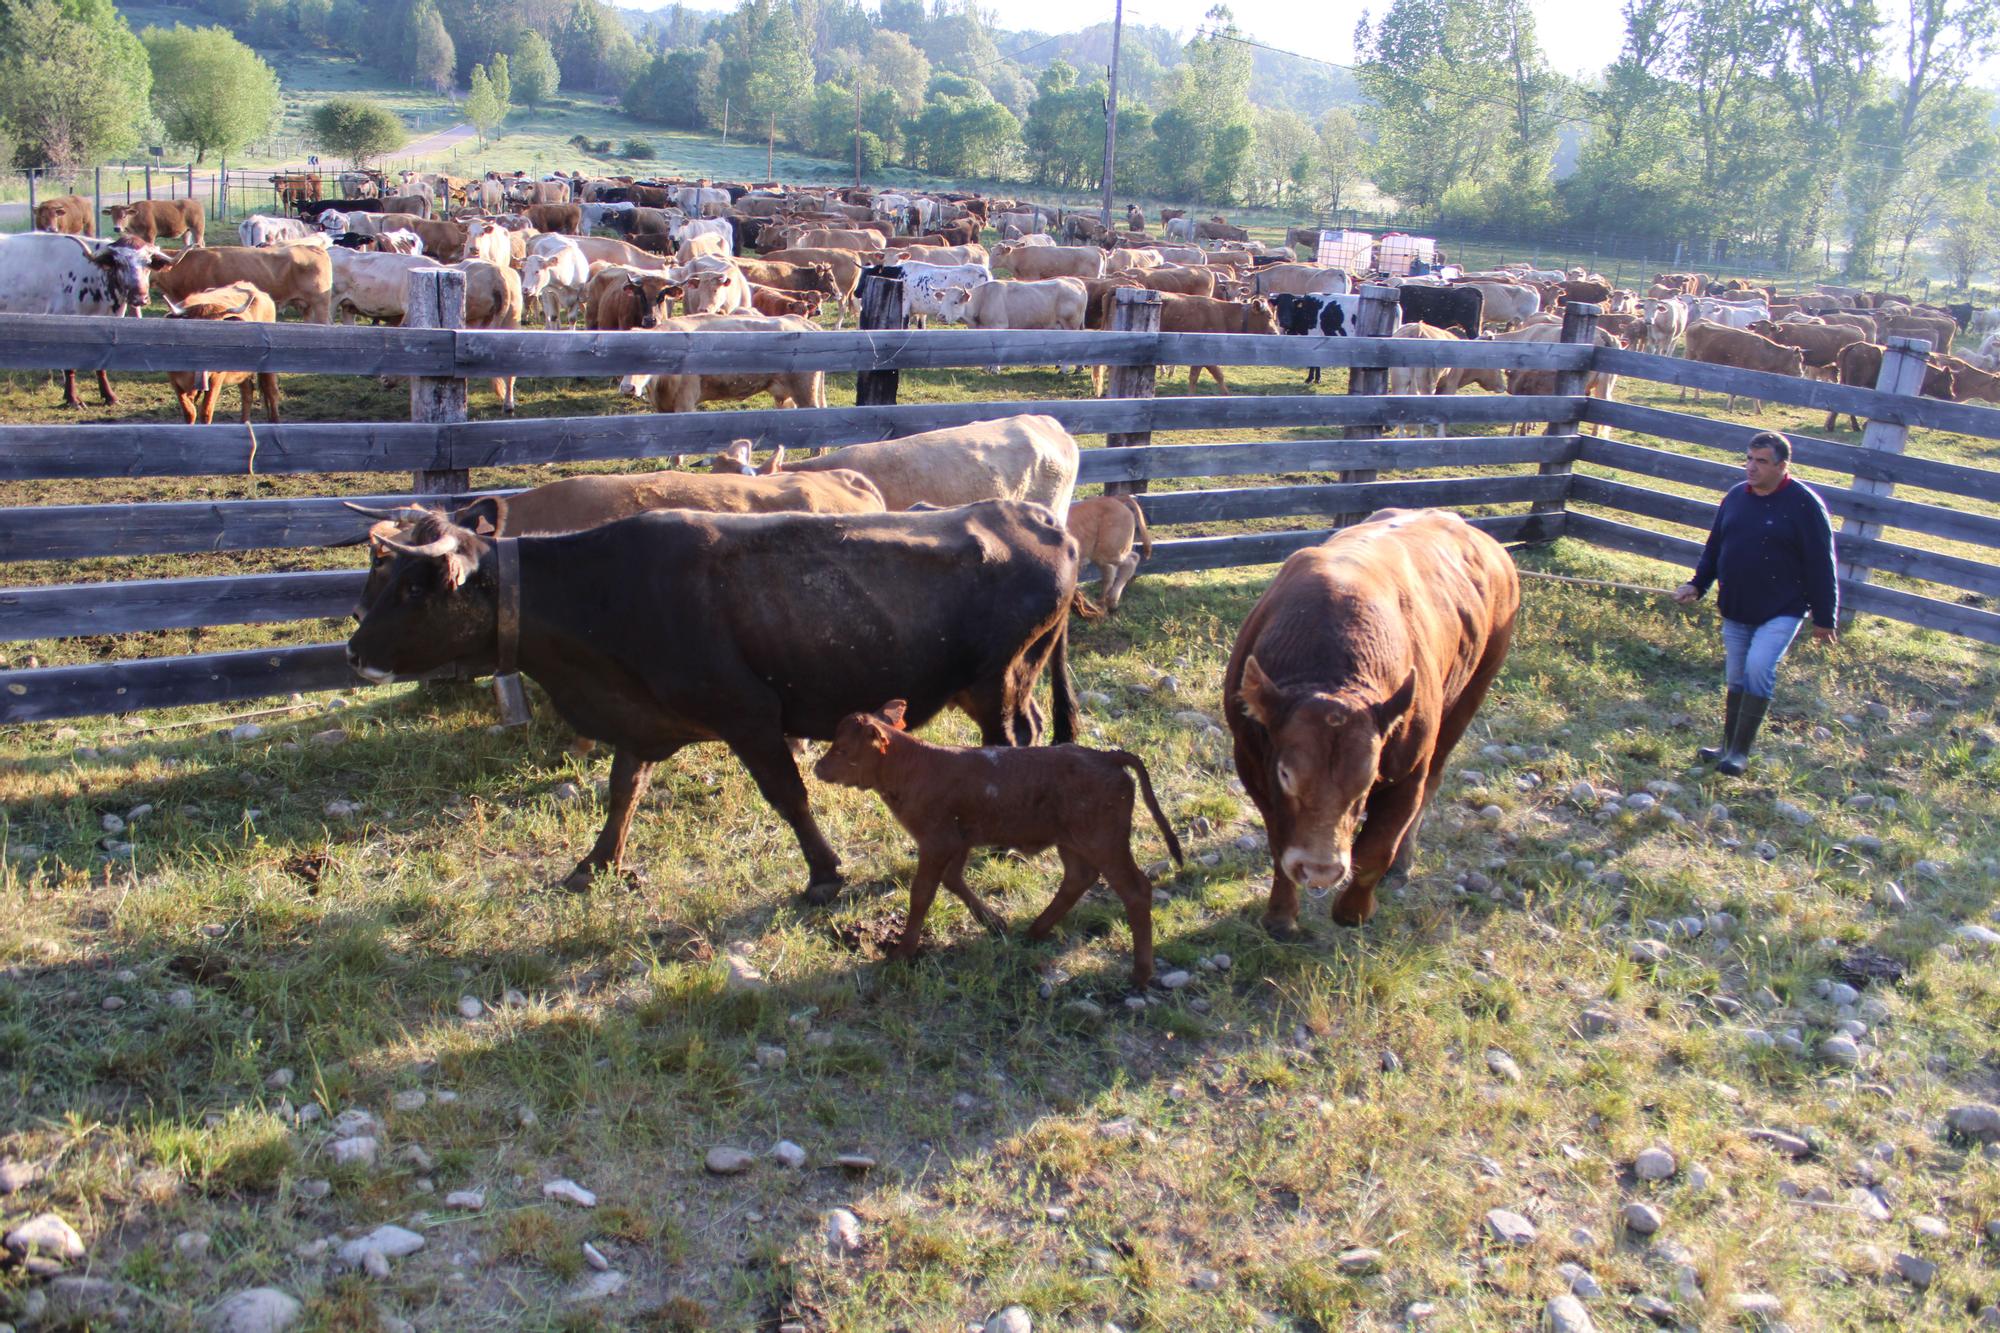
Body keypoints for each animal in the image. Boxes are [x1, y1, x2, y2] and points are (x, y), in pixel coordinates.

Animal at [163, 282, 282, 422]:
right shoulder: (175, 381)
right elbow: (189, 412)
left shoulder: (216, 379)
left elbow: (206, 412)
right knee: (247, 392)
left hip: (267, 367)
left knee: (271, 391)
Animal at [352, 504, 1088, 896]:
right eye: (377, 578)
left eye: (414, 588)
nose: (354, 651)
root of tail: (1035, 516)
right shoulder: (643, 720)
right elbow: (623, 790)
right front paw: (596, 864)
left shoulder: (749, 715)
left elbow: (789, 795)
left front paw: (824, 873)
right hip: (1005, 681)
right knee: (1030, 731)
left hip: (996, 680)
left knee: (1006, 746)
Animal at [816, 700, 1184, 980]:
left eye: (843, 749)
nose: (818, 768)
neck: (911, 768)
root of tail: (1105, 755)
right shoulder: (958, 839)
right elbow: (953, 879)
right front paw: (993, 922)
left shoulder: (936, 841)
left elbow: (922, 893)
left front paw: (903, 951)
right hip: (1072, 841)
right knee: (1078, 878)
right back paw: (1035, 930)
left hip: (1105, 841)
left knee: (1136, 890)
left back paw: (1141, 973)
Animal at [1216, 508, 1512, 932]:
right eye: (1287, 774)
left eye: (1370, 776)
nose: (1320, 869)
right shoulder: (1253, 765)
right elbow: (1278, 843)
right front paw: (1280, 917)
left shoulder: (1409, 774)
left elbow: (1377, 850)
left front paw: (1353, 911)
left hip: (1474, 689)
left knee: (1435, 781)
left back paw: (1402, 865)